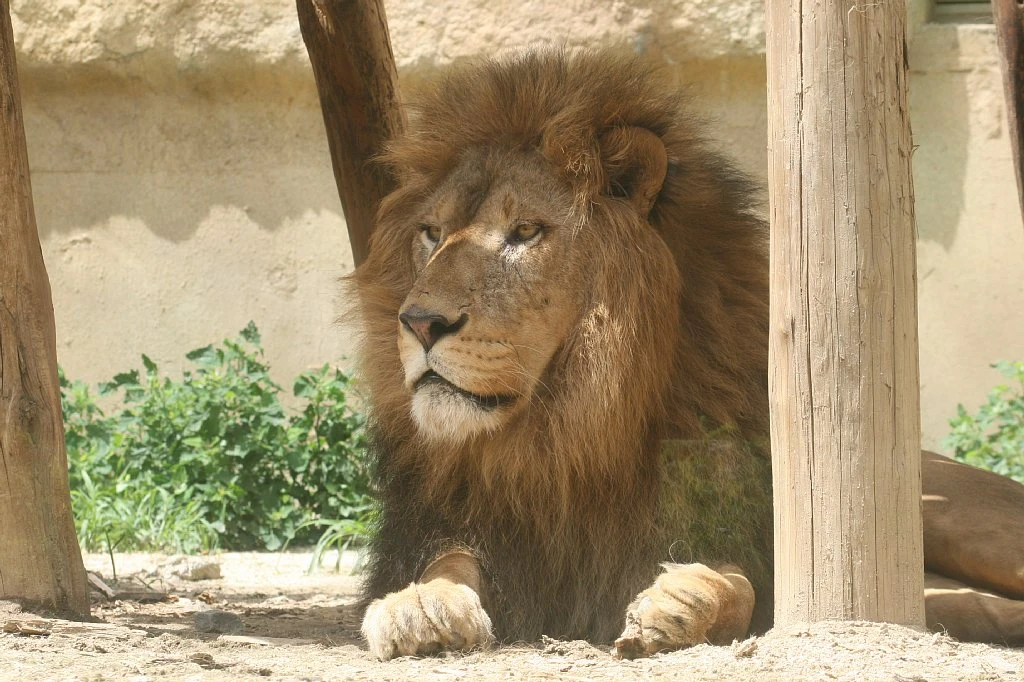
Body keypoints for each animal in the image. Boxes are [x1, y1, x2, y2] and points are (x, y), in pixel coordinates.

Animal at [348, 50, 1024, 655]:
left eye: (526, 232)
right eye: (432, 233)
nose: (419, 322)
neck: (568, 437)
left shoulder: (739, 537)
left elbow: (736, 584)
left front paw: (680, 601)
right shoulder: (457, 528)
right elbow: (447, 560)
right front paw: (420, 604)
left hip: (961, 521)